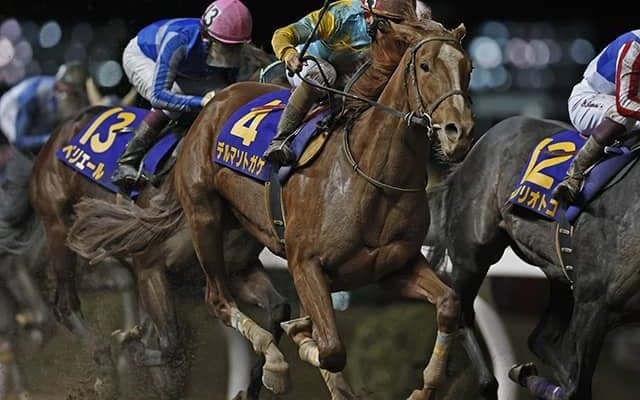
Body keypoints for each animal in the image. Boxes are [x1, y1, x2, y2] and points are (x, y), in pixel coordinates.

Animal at [25, 43, 287, 400]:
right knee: (66, 304)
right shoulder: (151, 266)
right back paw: (105, 369)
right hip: (57, 226)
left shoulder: (233, 270)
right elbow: (169, 343)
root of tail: (62, 132)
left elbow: (277, 308)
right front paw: (126, 343)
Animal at [66, 17, 478, 399]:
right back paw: (269, 364)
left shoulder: (394, 265)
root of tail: (217, 101)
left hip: (237, 236)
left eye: (468, 67)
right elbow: (331, 349)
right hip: (204, 217)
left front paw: (424, 387)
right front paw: (298, 339)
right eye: (425, 66)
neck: (369, 174)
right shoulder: (305, 263)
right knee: (217, 300)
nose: (459, 132)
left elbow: (449, 303)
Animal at [423, 115, 640, 400]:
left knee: (541, 339)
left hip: (561, 276)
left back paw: (523, 373)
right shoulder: (595, 304)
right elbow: (577, 389)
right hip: (472, 256)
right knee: (461, 314)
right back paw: (490, 383)